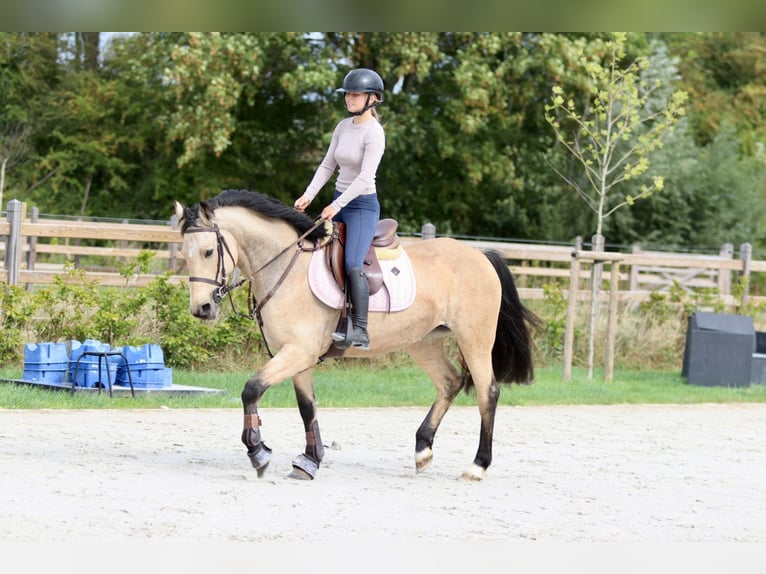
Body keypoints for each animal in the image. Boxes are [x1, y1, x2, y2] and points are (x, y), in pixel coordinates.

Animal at [173, 189, 540, 481]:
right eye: (184, 254)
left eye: (208, 252)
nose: (202, 308)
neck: (285, 268)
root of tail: (479, 255)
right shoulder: (297, 357)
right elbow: (307, 407)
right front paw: (310, 461)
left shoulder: (298, 352)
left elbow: (251, 390)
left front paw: (259, 453)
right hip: (424, 342)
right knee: (449, 382)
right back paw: (422, 450)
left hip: (474, 339)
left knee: (487, 392)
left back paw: (477, 466)